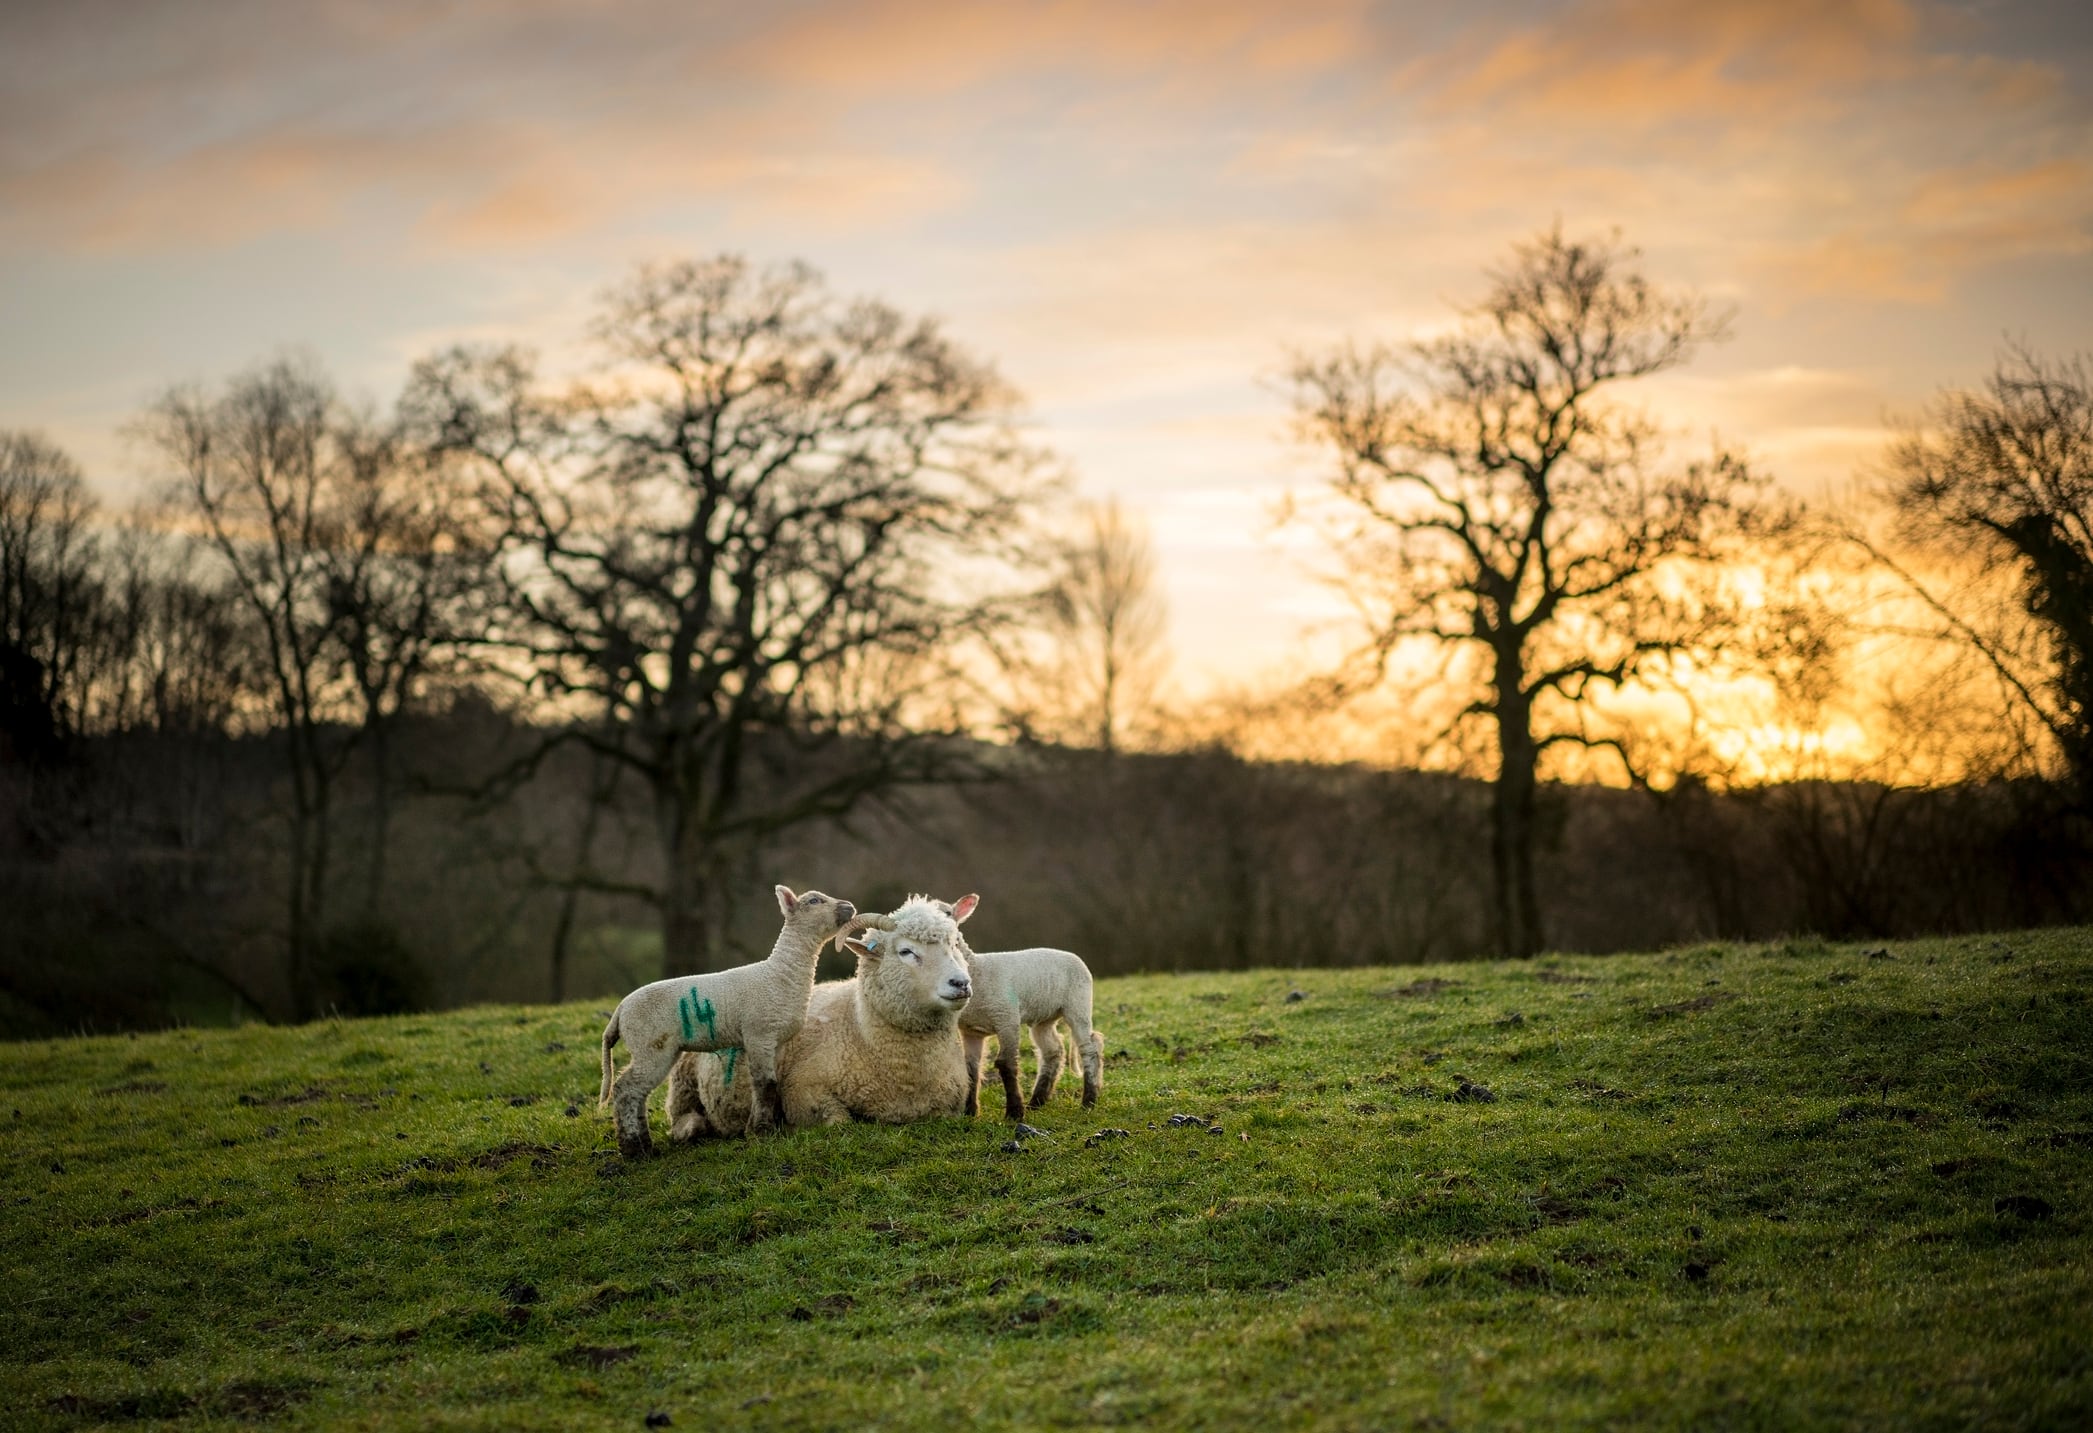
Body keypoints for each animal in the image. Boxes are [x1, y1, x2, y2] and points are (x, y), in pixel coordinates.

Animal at [597, 886, 858, 1156]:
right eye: (815, 901)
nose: (850, 907)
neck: (780, 974)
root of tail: (620, 1011)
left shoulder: (776, 1041)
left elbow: (771, 1085)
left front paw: (763, 1128)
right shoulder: (759, 1034)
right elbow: (764, 1084)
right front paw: (761, 1133)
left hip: (657, 1049)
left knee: (637, 1093)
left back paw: (645, 1146)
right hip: (650, 1045)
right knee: (625, 1089)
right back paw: (634, 1150)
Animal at [665, 893, 975, 1135]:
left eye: (953, 945)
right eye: (906, 951)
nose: (961, 983)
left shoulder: (950, 1106)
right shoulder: (802, 1090)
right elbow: (839, 1122)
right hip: (683, 1084)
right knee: (682, 1117)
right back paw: (693, 1127)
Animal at [936, 898, 1104, 1120]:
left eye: (948, 913)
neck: (978, 969)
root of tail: (1070, 954)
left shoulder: (1007, 1018)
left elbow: (1006, 1064)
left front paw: (1014, 1112)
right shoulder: (971, 1030)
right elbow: (971, 1068)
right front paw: (969, 1112)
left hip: (1079, 1003)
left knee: (1089, 1047)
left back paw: (1088, 1102)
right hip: (1044, 1016)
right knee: (1053, 1050)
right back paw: (1037, 1101)